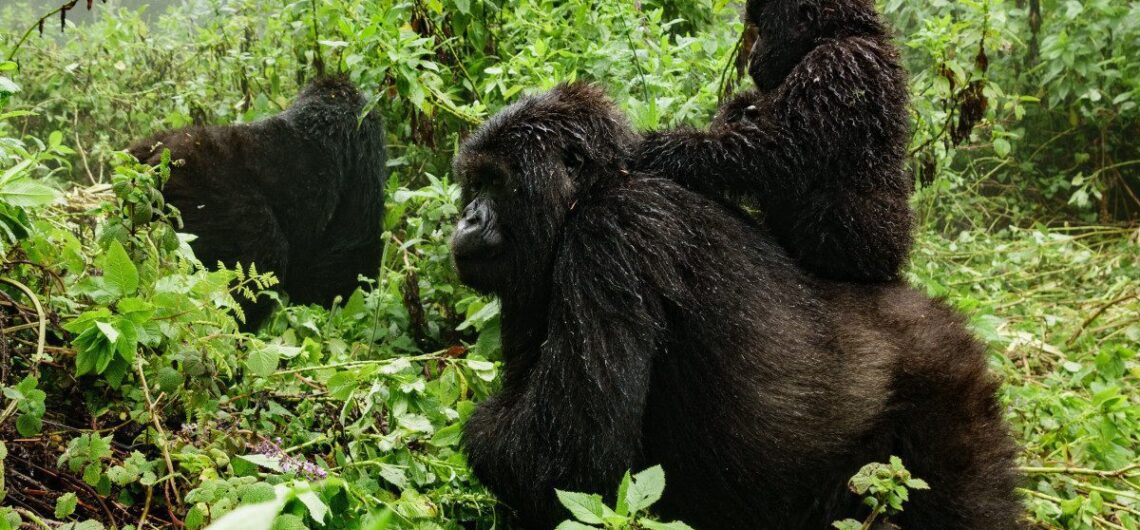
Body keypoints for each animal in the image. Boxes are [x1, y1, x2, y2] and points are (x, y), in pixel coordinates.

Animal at [449, 83, 1021, 528]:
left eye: (496, 181)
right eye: (473, 183)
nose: (467, 220)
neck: (595, 188)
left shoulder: (610, 234)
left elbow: (566, 461)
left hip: (947, 393)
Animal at [638, 0, 912, 282]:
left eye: (763, 31)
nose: (752, 54)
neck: (840, 31)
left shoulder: (836, 64)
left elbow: (779, 151)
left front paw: (669, 148)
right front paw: (736, 109)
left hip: (880, 246)